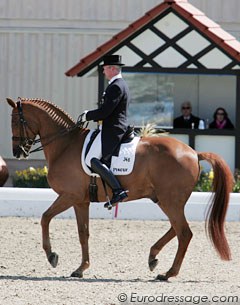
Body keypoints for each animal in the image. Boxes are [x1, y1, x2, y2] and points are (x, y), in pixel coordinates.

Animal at [6, 98, 233, 280]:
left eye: (15, 121)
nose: (18, 152)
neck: (65, 145)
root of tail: (194, 153)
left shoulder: (69, 196)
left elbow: (45, 218)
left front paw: (52, 256)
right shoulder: (81, 201)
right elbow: (83, 233)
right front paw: (81, 268)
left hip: (170, 200)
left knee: (184, 232)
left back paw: (168, 273)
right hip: (165, 200)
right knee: (176, 229)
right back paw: (153, 257)